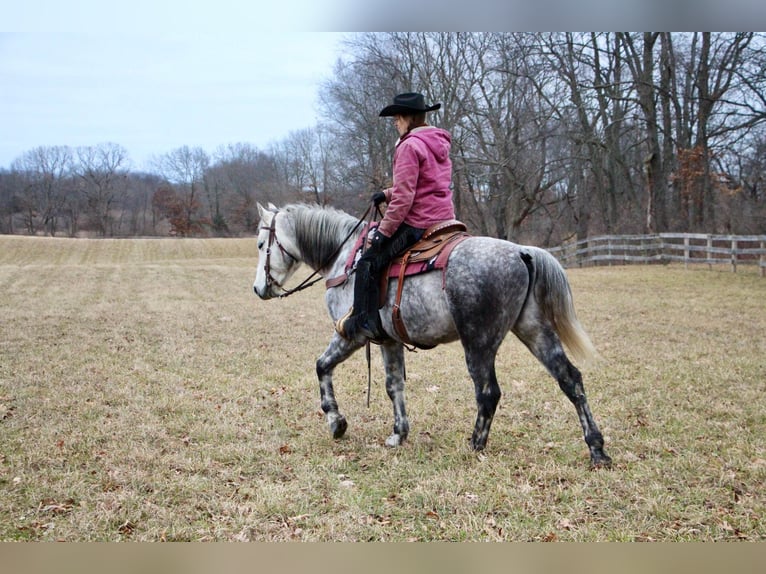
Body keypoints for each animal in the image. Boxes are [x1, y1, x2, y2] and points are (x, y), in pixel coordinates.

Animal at [255, 202, 616, 468]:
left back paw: (475, 444)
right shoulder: (389, 340)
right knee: (570, 379)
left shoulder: (350, 335)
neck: (346, 261)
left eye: (261, 244)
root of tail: (520, 252)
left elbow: (322, 366)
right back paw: (597, 449)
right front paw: (398, 433)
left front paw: (336, 422)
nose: (258, 289)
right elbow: (393, 385)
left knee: (488, 392)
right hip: (534, 330)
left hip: (479, 343)